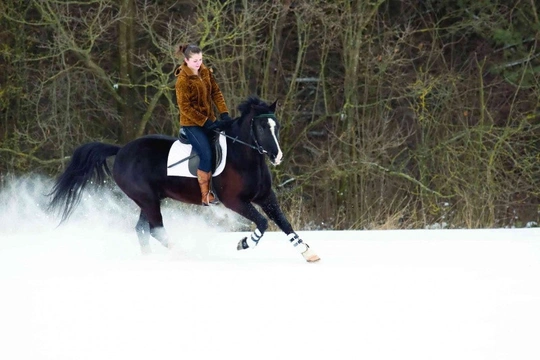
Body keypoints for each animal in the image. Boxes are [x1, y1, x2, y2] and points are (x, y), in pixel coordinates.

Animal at [47, 97, 320, 262]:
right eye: (262, 127)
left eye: (277, 126)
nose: (277, 156)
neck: (244, 157)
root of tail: (121, 150)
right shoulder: (234, 201)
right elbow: (263, 222)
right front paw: (244, 243)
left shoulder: (265, 196)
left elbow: (283, 222)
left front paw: (307, 252)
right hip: (147, 199)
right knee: (156, 229)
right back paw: (184, 255)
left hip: (149, 200)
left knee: (142, 229)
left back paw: (150, 259)